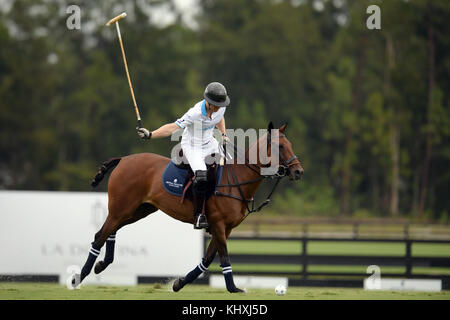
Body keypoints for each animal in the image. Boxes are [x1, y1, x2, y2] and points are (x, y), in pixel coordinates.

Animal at [75, 122, 304, 292]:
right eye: (280, 146)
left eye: (290, 144)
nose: (298, 171)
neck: (238, 179)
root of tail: (123, 159)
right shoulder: (218, 224)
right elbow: (224, 257)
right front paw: (233, 289)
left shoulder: (227, 228)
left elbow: (208, 259)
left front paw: (178, 284)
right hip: (123, 207)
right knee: (100, 235)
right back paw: (79, 277)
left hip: (138, 209)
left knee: (111, 230)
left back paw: (101, 264)